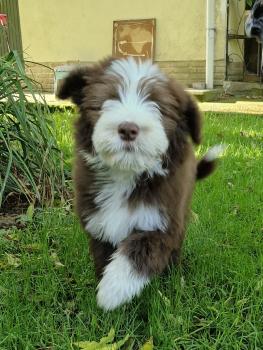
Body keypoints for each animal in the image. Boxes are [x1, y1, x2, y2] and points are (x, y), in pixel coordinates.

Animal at [56, 57, 224, 312]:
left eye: (158, 107)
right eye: (107, 99)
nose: (128, 128)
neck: (126, 175)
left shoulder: (160, 223)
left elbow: (137, 253)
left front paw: (110, 292)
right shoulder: (99, 222)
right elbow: (104, 255)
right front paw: (106, 286)